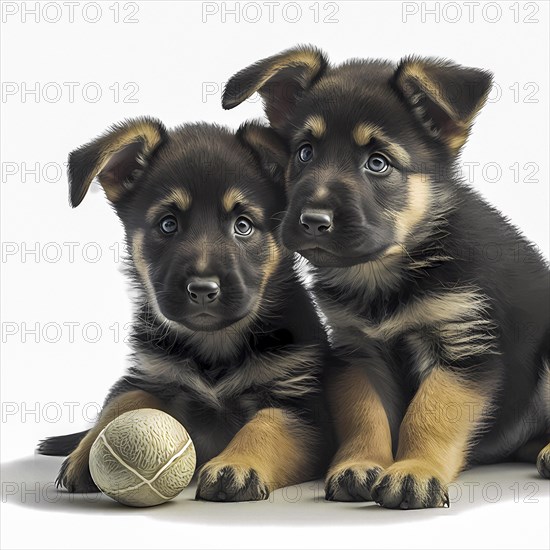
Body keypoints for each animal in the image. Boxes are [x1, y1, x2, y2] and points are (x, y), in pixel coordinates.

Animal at [37, 117, 336, 504]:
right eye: (168, 224)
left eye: (243, 225)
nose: (203, 290)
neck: (215, 344)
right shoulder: (148, 375)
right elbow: (121, 402)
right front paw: (87, 451)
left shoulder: (301, 406)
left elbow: (267, 425)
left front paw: (236, 463)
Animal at [224, 45, 550, 512]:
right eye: (304, 153)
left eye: (377, 163)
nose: (313, 221)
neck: (388, 270)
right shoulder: (360, 354)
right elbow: (367, 416)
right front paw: (361, 464)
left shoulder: (461, 349)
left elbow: (426, 415)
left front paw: (415, 470)